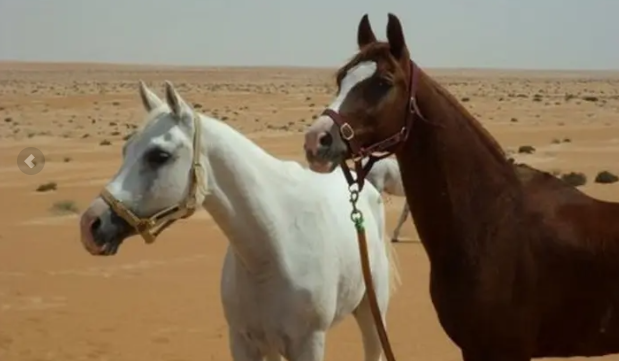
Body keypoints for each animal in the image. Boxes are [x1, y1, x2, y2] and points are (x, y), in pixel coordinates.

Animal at [78, 81, 402, 360]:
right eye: (125, 150)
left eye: (159, 155)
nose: (90, 225)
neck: (272, 248)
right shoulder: (245, 342)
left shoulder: (308, 344)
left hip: (372, 313)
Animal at [302, 12, 619, 360]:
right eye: (341, 78)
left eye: (383, 83)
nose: (316, 140)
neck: (490, 224)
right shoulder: (473, 347)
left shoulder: (508, 349)